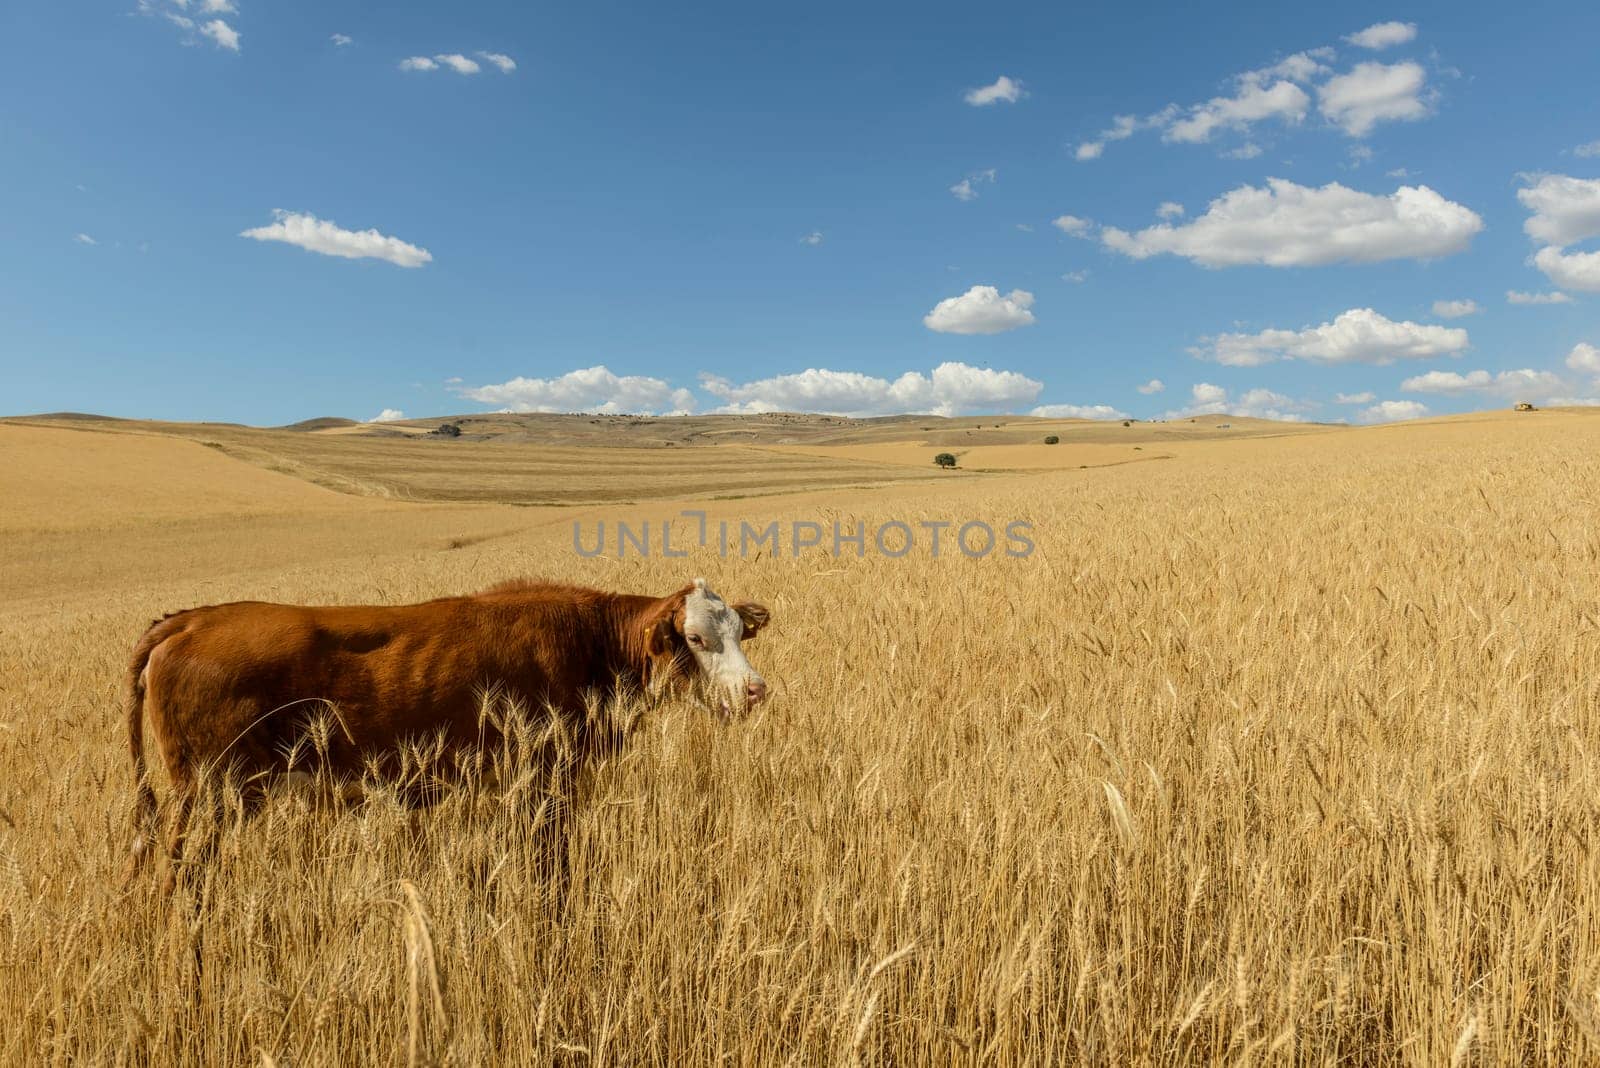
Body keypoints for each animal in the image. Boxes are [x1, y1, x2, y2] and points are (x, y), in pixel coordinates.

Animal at [123, 578, 768, 888]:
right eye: (695, 638)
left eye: (740, 632)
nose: (755, 690)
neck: (589, 641)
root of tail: (190, 620)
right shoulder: (545, 781)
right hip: (212, 794)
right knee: (179, 876)